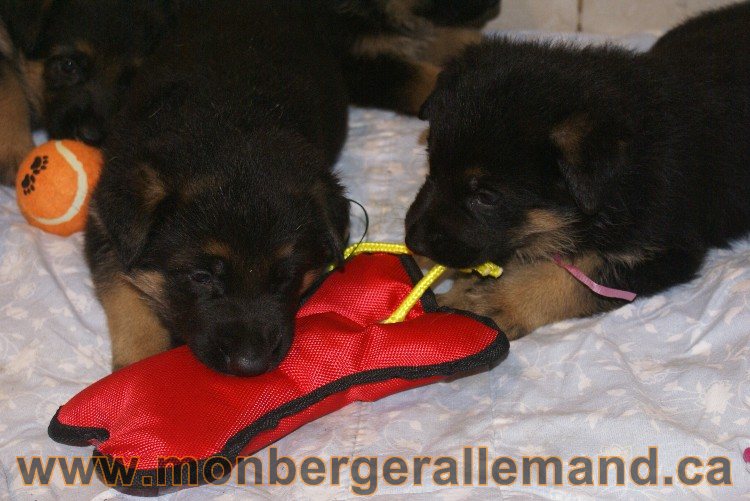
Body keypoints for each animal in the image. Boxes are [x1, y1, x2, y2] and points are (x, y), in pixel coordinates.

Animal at [86, 0, 500, 376]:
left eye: (285, 276)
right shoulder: (103, 226)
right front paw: (140, 365)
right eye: (200, 277)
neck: (224, 126)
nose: (250, 365)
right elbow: (126, 300)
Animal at [406, 2, 750, 340]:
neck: (622, 180)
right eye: (431, 163)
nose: (413, 241)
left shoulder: (664, 249)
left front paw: (499, 299)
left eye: (486, 197)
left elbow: (574, 274)